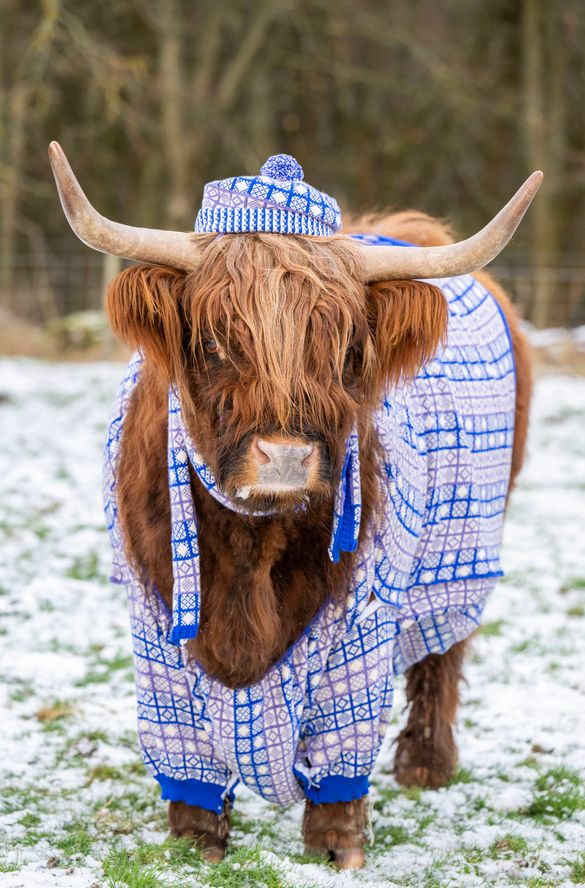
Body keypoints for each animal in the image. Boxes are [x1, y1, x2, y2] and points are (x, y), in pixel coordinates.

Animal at [49, 142, 540, 872]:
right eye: (214, 342)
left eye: (345, 349)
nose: (284, 457)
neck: (248, 546)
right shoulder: (154, 625)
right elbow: (184, 751)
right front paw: (195, 841)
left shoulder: (363, 621)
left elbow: (344, 741)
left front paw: (338, 846)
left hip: (467, 547)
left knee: (443, 649)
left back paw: (426, 764)